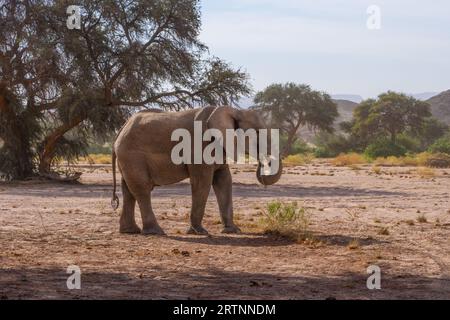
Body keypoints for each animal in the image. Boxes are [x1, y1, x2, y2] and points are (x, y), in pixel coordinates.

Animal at [111, 105, 282, 235]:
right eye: (257, 133)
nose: (262, 165)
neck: (233, 110)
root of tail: (121, 129)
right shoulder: (200, 146)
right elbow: (203, 182)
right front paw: (199, 232)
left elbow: (224, 180)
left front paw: (233, 231)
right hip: (132, 155)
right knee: (142, 189)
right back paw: (155, 232)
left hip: (126, 157)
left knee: (128, 190)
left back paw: (130, 231)